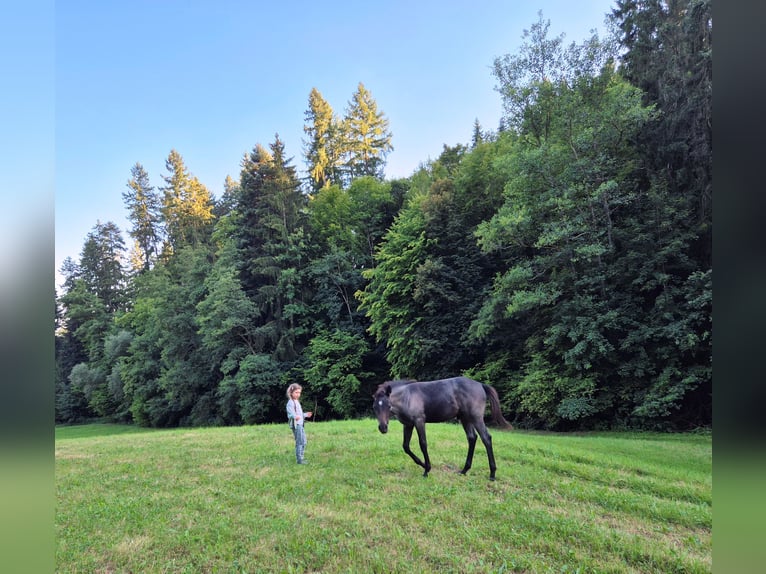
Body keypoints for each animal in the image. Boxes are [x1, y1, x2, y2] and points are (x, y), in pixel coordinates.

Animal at [372, 376, 512, 480]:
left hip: (476, 417)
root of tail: (480, 385)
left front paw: (427, 470)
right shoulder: (408, 424)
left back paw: (492, 474)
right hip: (465, 418)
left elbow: (423, 444)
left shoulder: (419, 421)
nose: (383, 428)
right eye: (374, 407)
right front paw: (422, 464)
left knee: (486, 438)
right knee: (472, 438)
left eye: (388, 405)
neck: (407, 397)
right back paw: (464, 470)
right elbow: (406, 446)